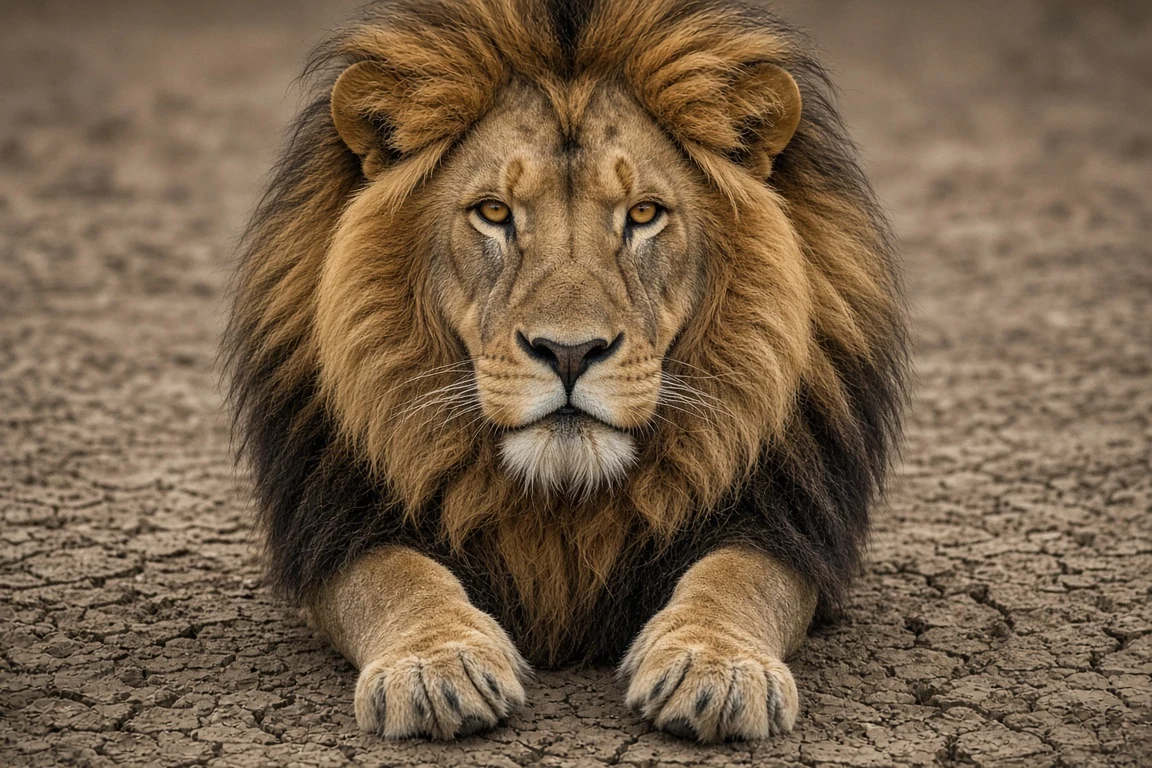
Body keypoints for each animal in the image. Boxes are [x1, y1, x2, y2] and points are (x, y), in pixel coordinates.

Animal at [224, 0, 906, 743]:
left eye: (644, 214)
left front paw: (715, 668)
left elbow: (738, 577)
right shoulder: (339, 526)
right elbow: (397, 577)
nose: (570, 352)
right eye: (494, 212)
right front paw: (436, 666)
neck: (562, 503)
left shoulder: (784, 522)